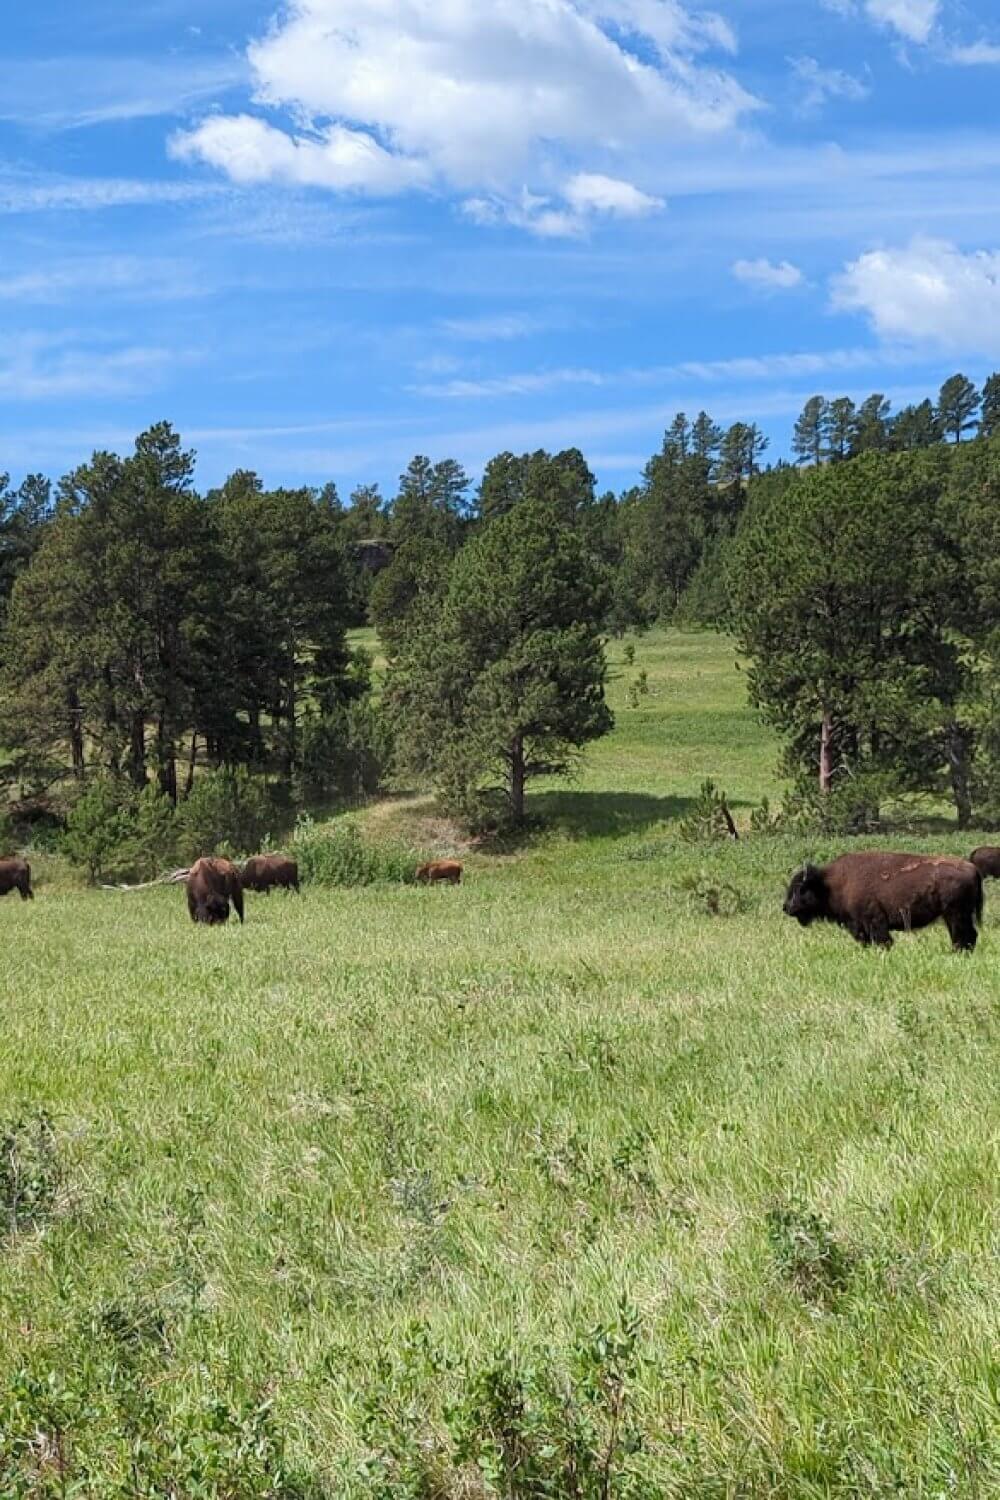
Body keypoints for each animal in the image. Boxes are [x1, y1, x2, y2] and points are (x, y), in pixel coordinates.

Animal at [779, 852, 983, 954]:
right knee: (968, 935)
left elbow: (883, 940)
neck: (830, 884)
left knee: (963, 935)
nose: (786, 907)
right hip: (955, 915)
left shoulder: (873, 921)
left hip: (956, 914)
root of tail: (973, 868)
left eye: (801, 889)